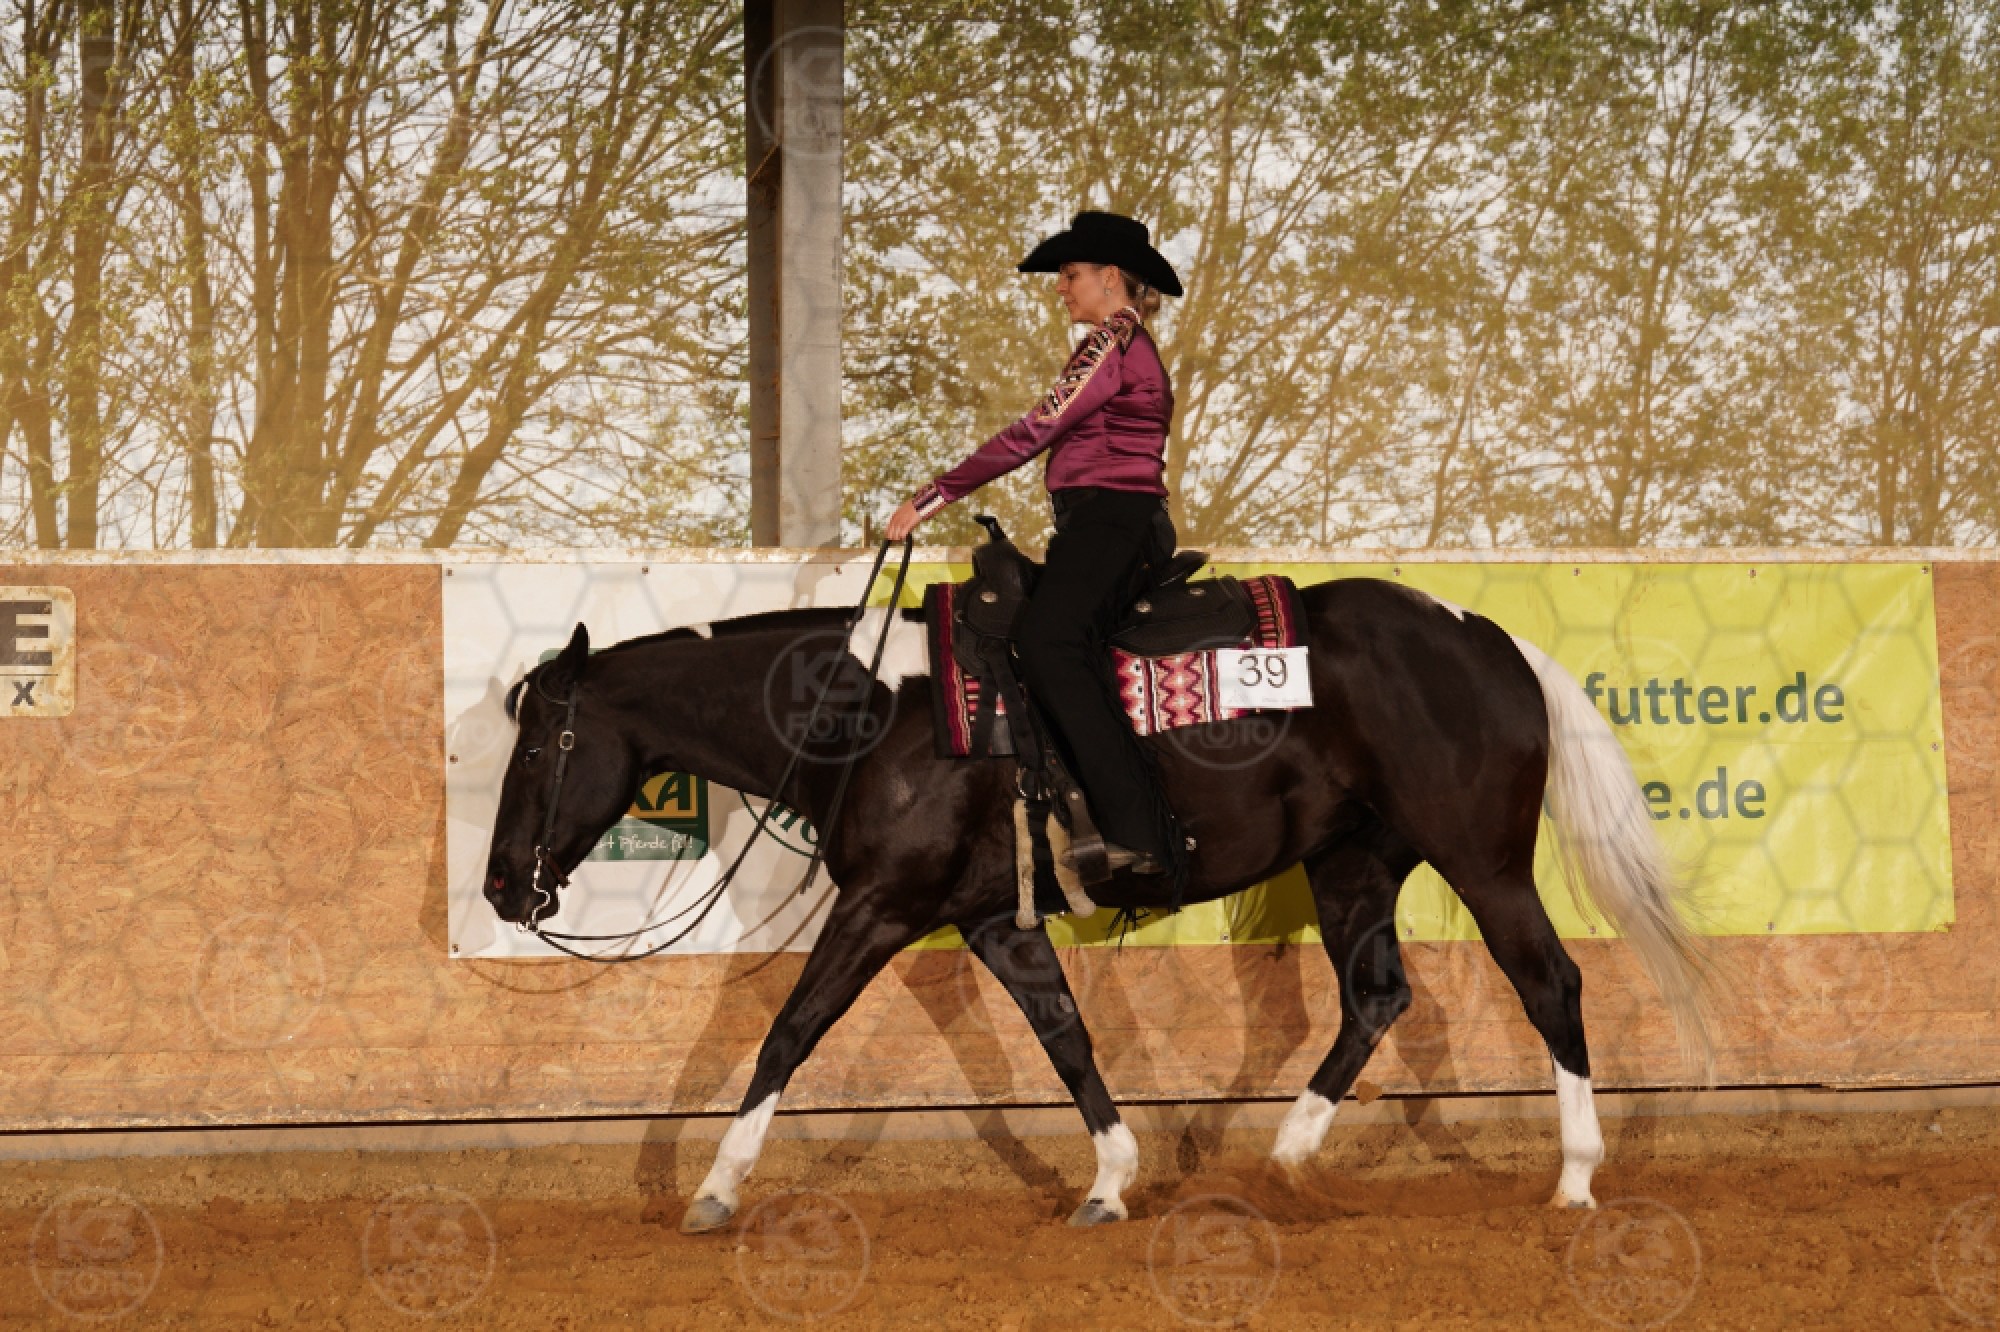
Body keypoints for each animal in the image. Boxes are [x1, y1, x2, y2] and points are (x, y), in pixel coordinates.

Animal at [481, 573, 1714, 1232]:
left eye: (542, 743)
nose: (500, 885)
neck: (875, 715)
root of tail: (1488, 635)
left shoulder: (883, 905)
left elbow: (789, 1029)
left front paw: (713, 1190)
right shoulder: (990, 921)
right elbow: (1063, 1036)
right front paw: (1113, 1183)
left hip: (1483, 861)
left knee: (1549, 981)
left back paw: (1574, 1178)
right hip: (1353, 864)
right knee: (1375, 997)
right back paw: (1282, 1158)